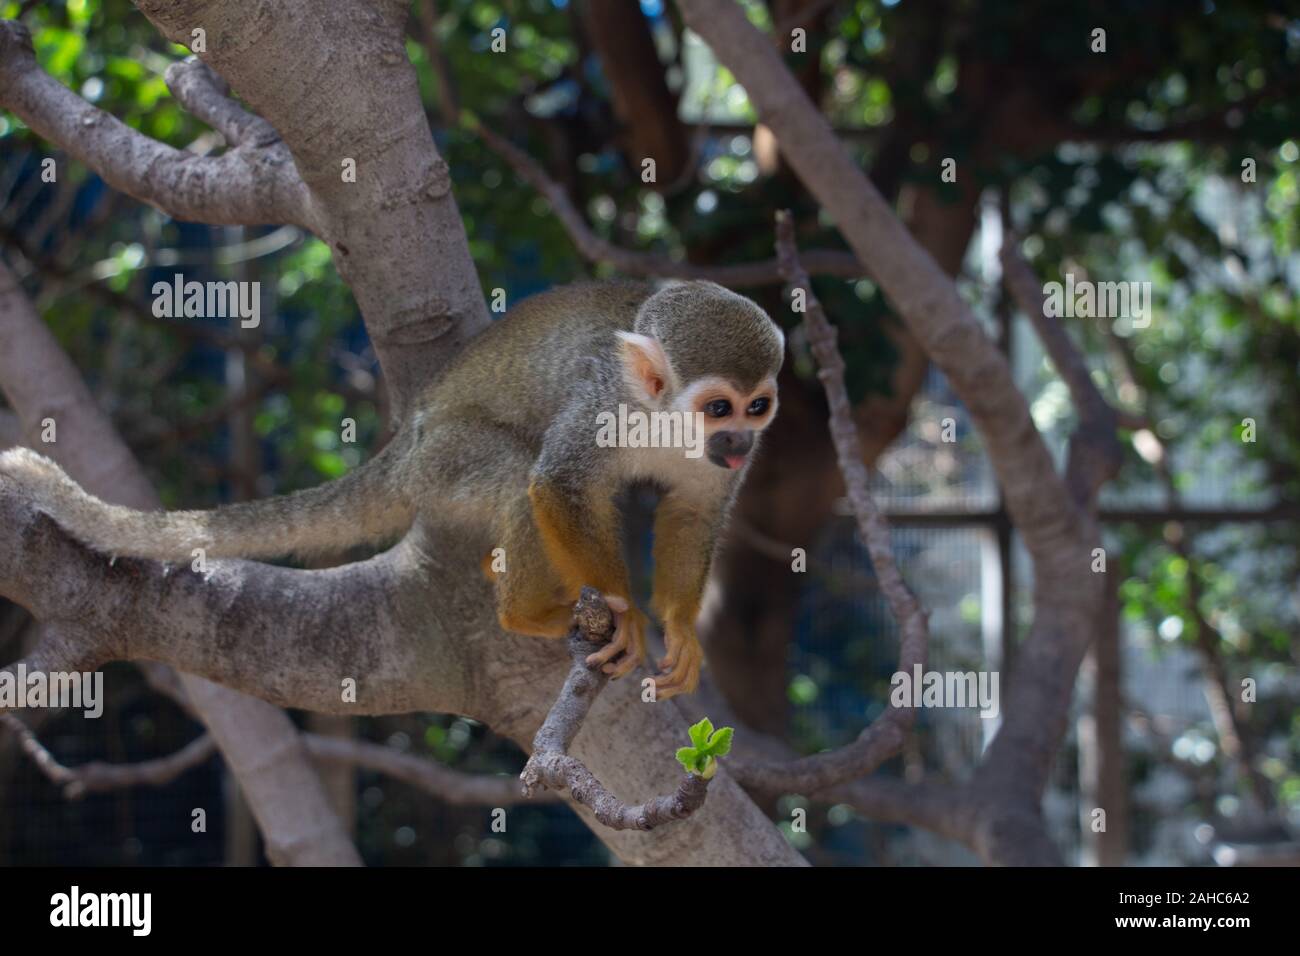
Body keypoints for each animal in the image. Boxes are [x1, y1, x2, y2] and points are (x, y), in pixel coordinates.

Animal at [2, 280, 780, 697]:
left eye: (757, 407)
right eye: (718, 407)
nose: (740, 443)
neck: (666, 422)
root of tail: (406, 441)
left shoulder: (711, 469)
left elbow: (693, 511)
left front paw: (679, 632)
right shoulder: (603, 406)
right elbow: (556, 481)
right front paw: (626, 618)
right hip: (443, 458)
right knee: (514, 472)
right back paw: (525, 614)